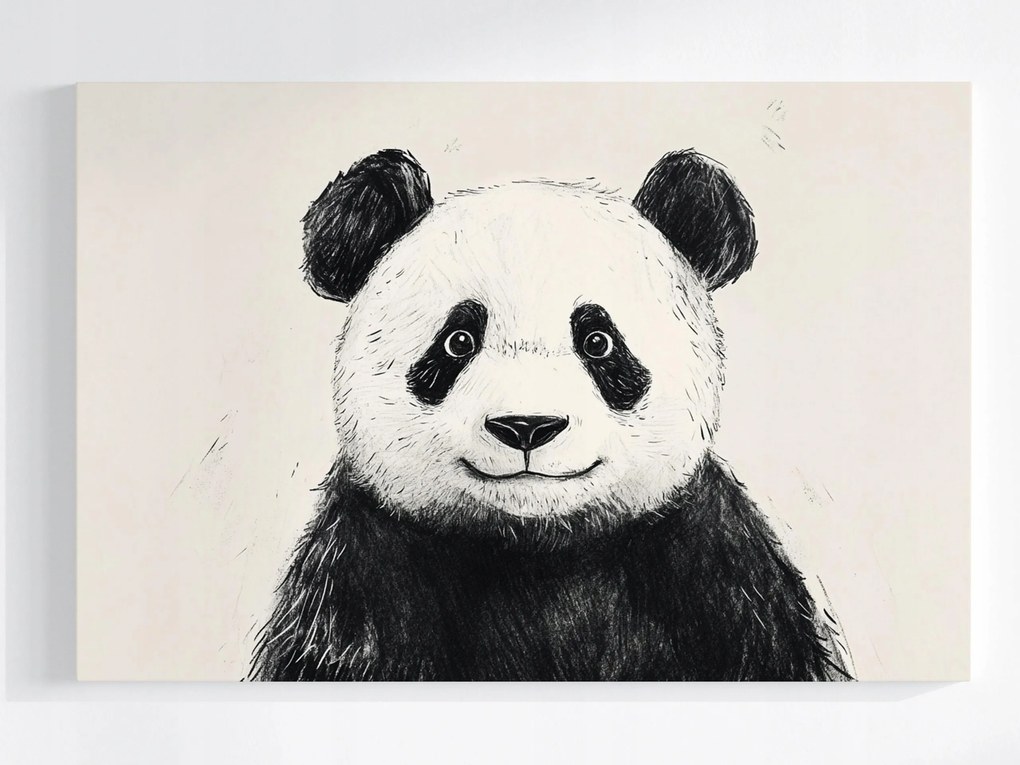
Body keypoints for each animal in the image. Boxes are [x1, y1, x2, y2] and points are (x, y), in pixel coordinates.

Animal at [250, 148, 853, 681]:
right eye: (457, 341)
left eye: (598, 341)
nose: (526, 427)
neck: (540, 550)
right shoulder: (361, 576)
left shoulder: (713, 570)